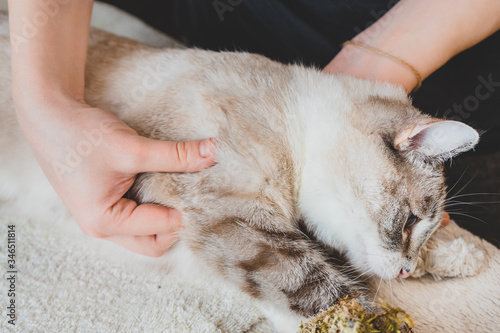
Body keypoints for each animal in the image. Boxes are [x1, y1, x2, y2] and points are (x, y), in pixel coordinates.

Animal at [0, 13, 480, 330]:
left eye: (422, 227)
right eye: (410, 221)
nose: (404, 273)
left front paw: (458, 256)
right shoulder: (235, 220)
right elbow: (326, 291)